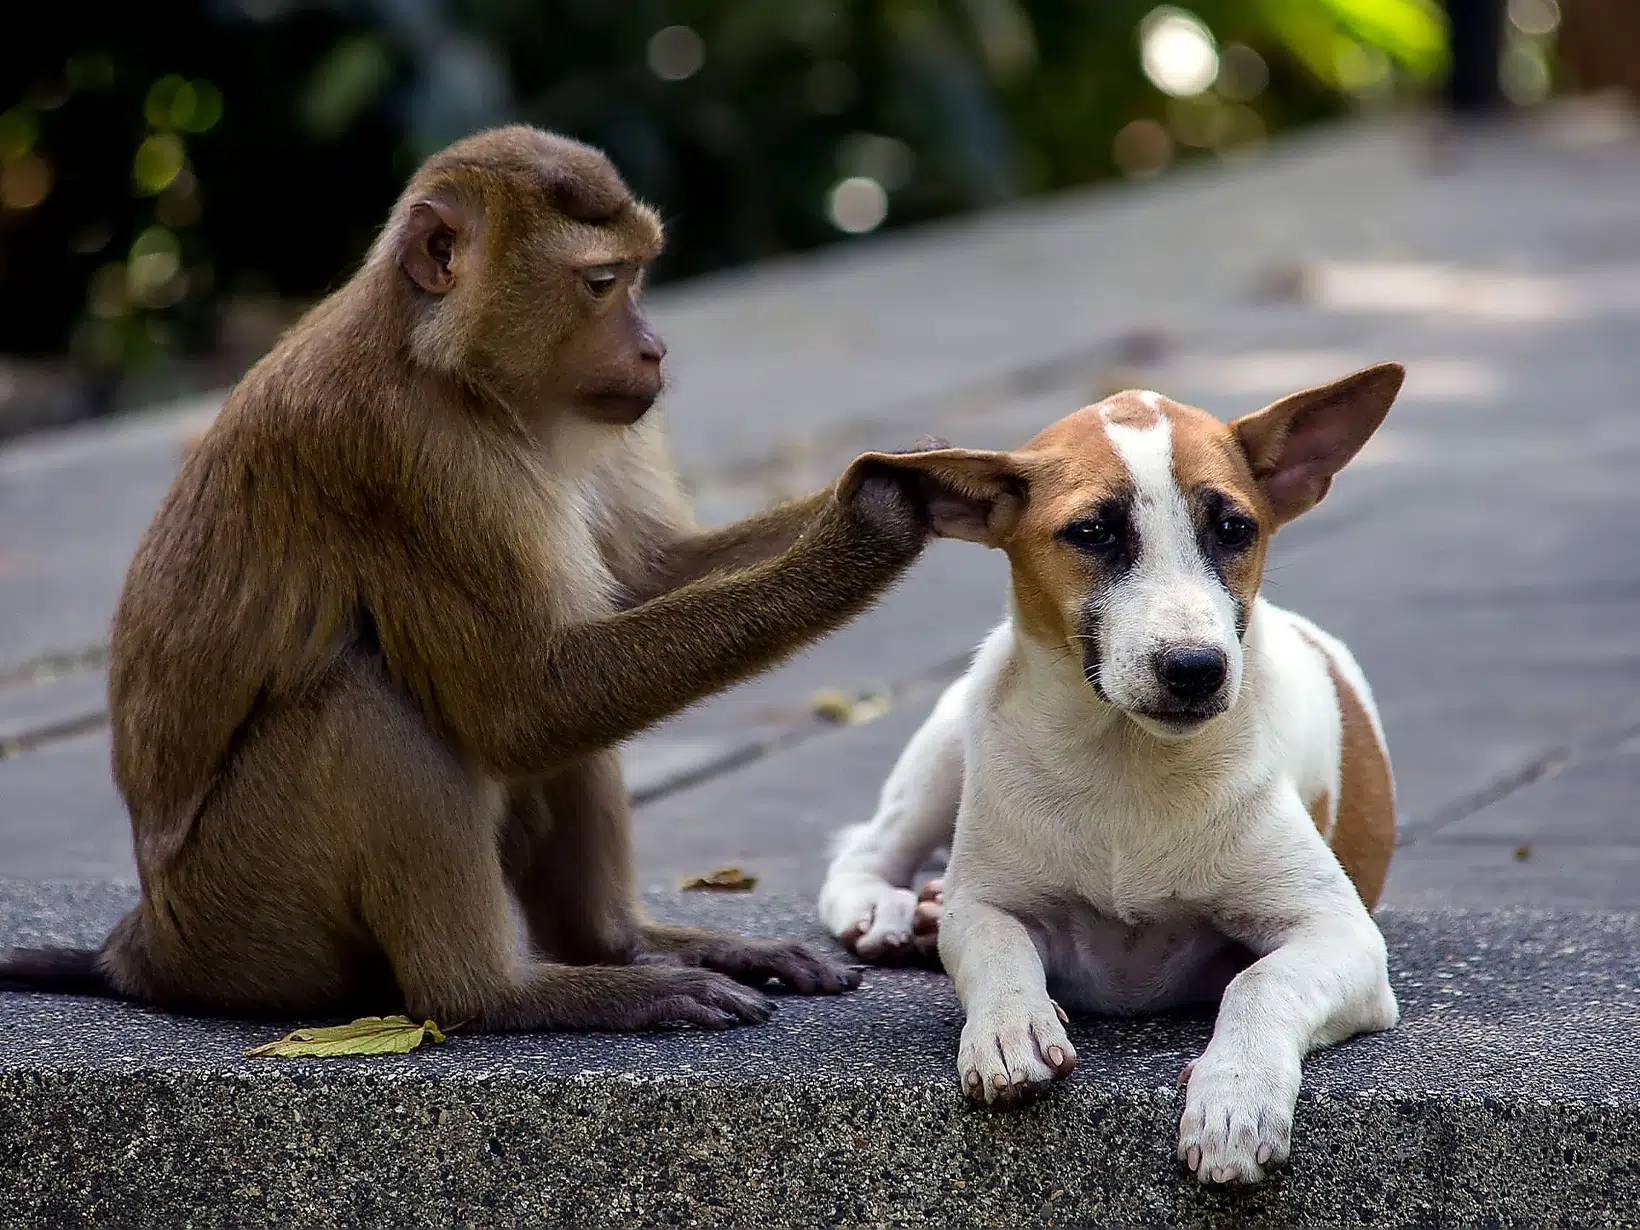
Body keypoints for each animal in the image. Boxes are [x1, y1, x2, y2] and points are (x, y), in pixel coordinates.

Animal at [0, 127, 944, 1029]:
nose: (654, 348)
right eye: (603, 282)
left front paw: (907, 477)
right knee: (369, 695)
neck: (453, 374)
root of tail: (144, 946)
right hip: (248, 915)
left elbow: (638, 586)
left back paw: (618, 944)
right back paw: (498, 995)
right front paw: (863, 533)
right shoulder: (403, 457)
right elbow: (522, 704)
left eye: (638, 274)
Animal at [820, 364, 1410, 1187]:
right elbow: (995, 944)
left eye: (1234, 529)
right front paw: (1009, 1027)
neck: (1125, 759)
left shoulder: (1342, 935)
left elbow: (1261, 981)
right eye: (1093, 532)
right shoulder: (987, 902)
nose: (1196, 669)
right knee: (866, 848)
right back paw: (889, 908)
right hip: (946, 745)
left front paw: (1236, 1096)